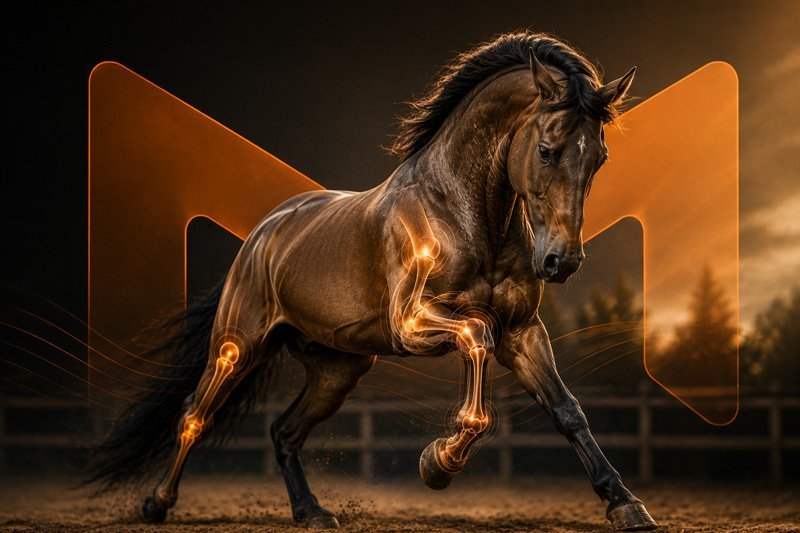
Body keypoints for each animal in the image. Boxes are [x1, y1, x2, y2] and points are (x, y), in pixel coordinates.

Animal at [87, 31, 657, 531]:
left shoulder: (521, 332)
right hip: (237, 346)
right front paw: (438, 463)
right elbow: (476, 343)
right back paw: (157, 503)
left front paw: (626, 505)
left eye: (599, 157)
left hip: (337, 370)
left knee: (284, 431)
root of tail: (264, 234)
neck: (463, 214)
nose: (562, 262)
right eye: (546, 149)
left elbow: (567, 410)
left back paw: (312, 513)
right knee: (194, 415)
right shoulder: (412, 324)